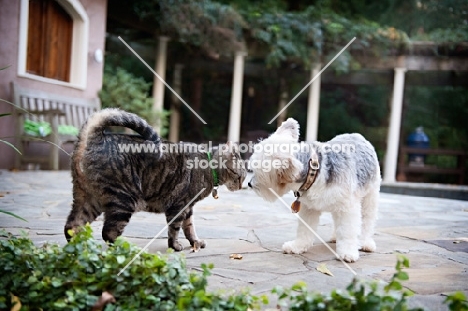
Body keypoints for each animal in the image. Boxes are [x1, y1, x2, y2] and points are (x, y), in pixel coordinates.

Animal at [67, 108, 249, 252]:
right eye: (240, 177)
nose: (242, 186)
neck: (209, 164)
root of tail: (96, 136)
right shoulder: (179, 206)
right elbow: (175, 229)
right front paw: (175, 246)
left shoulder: (188, 208)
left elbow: (189, 227)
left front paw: (195, 242)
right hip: (123, 201)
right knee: (108, 233)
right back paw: (125, 249)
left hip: (87, 200)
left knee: (71, 227)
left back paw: (79, 249)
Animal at [249, 119, 380, 264]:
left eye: (258, 172)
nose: (249, 184)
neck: (316, 172)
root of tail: (357, 136)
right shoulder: (309, 209)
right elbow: (304, 230)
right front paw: (297, 246)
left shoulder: (347, 208)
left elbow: (347, 231)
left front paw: (347, 253)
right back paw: (335, 237)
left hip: (370, 197)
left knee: (367, 221)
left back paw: (365, 243)